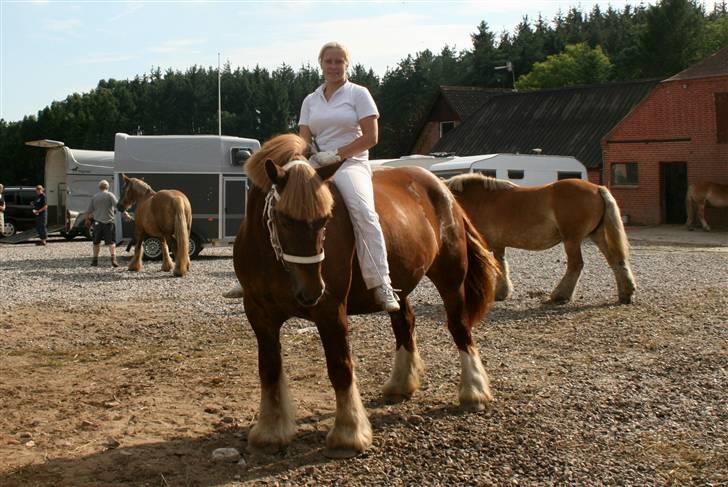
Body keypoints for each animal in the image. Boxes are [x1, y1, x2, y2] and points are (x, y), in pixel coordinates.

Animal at [233, 132, 500, 458]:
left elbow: (340, 366)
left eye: (326, 220)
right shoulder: (259, 314)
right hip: (400, 283)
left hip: (450, 279)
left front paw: (348, 433)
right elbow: (269, 369)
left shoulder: (330, 311)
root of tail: (443, 190)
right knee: (405, 323)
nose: (312, 291)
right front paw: (271, 431)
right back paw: (401, 384)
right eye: (282, 219)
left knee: (460, 327)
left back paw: (473, 392)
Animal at [446, 173, 636, 304]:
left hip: (572, 239)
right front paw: (502, 293)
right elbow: (501, 266)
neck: (478, 200)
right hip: (597, 235)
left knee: (576, 265)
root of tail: (597, 188)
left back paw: (560, 295)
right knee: (616, 260)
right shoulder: (498, 246)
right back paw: (626, 293)